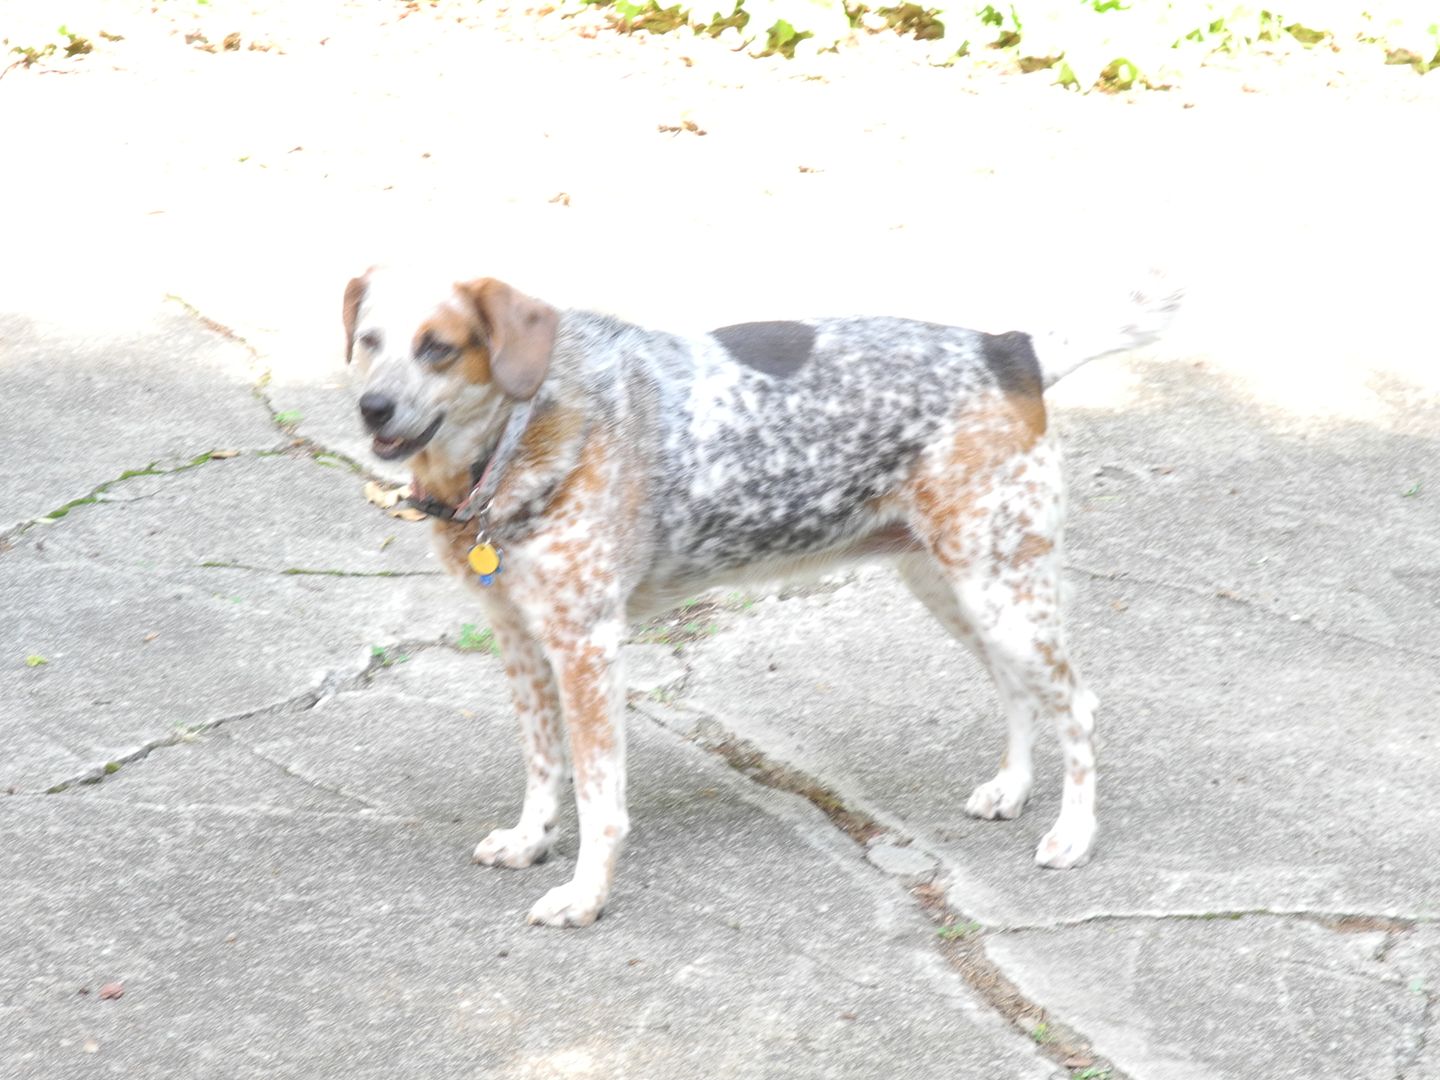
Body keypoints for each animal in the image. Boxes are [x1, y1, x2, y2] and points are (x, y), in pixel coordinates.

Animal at [339, 270, 1180, 933]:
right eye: (369, 340)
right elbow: (543, 766)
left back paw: (1075, 834)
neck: (517, 433)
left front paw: (585, 897)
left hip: (1003, 591)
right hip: (956, 588)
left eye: (439, 346)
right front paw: (530, 841)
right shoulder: (518, 639)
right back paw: (1011, 788)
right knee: (1017, 689)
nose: (372, 408)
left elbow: (597, 797)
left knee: (1077, 705)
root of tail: (1011, 348)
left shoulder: (586, 646)